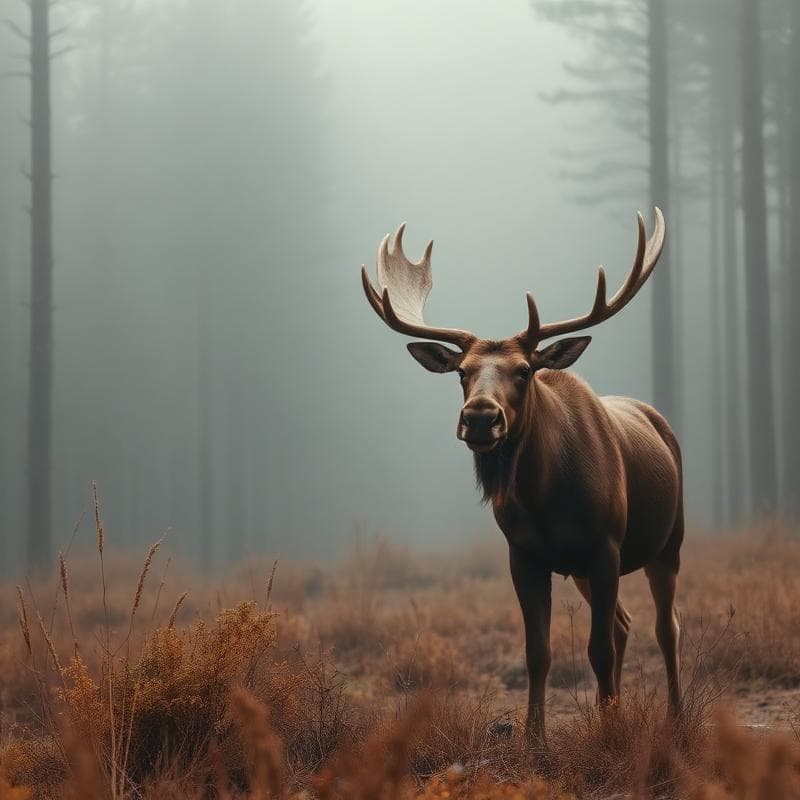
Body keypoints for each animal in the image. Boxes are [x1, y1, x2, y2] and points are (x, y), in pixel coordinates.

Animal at [360, 209, 683, 742]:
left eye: (525, 370)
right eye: (462, 372)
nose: (480, 417)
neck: (547, 499)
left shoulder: (605, 545)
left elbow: (596, 650)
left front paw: (609, 734)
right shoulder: (525, 554)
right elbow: (538, 653)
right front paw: (536, 739)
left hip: (668, 542)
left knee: (665, 626)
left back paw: (676, 714)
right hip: (587, 569)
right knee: (623, 622)